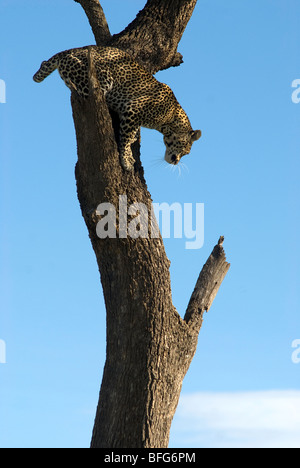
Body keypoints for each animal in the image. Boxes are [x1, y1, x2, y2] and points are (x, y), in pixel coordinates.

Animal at [33, 44, 202, 170]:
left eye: (186, 153)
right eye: (184, 149)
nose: (176, 161)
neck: (171, 119)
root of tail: (73, 50)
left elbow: (131, 134)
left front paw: (133, 142)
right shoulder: (133, 109)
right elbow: (126, 139)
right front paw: (126, 160)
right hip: (100, 77)